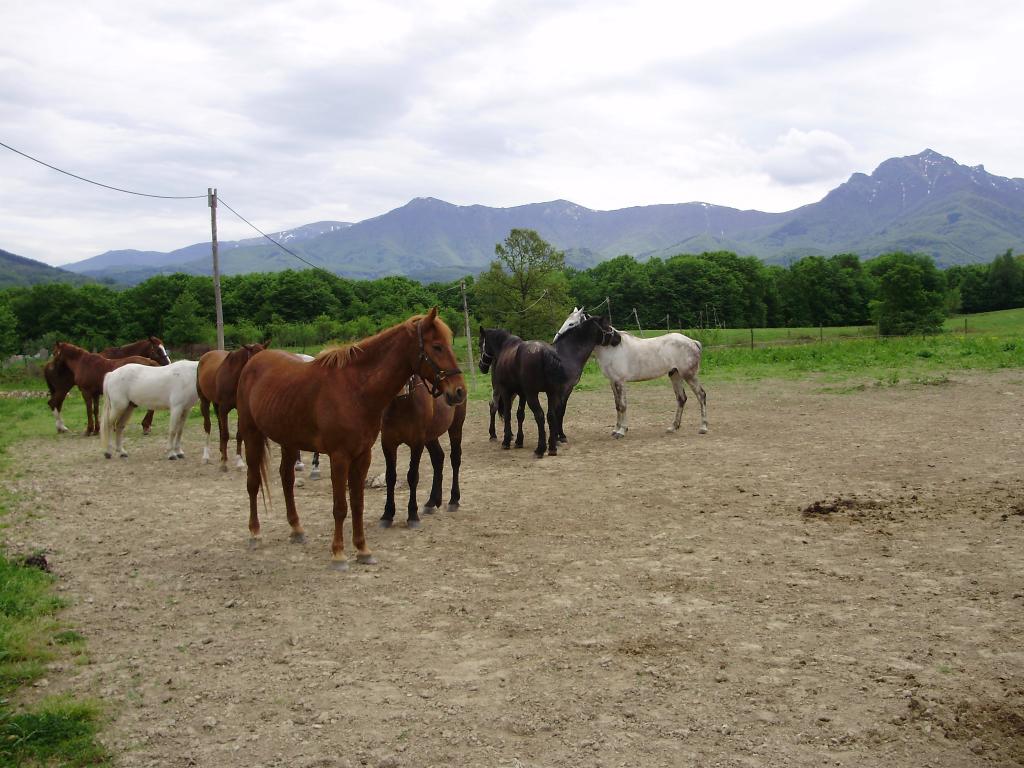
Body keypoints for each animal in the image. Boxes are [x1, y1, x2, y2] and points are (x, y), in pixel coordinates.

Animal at [196, 342, 269, 470]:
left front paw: (239, 461)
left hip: (217, 405)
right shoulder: (224, 409)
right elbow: (226, 434)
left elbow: (238, 435)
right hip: (205, 402)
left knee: (220, 426)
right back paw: (206, 456)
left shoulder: (239, 409)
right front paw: (224, 463)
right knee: (208, 426)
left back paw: (221, 451)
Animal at [379, 375, 467, 529]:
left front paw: (412, 516)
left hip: (456, 426)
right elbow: (390, 477)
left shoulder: (417, 443)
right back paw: (432, 502)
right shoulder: (387, 442)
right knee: (438, 457)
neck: (401, 402)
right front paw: (387, 515)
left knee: (455, 458)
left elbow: (413, 476)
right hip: (431, 436)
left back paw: (453, 500)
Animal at [478, 314, 619, 457]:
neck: (568, 354)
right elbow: (558, 412)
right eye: (608, 327)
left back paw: (513, 437)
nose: (481, 366)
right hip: (500, 389)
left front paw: (558, 437)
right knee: (493, 406)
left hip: (515, 392)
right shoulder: (563, 390)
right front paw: (558, 437)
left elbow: (554, 413)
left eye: (571, 323)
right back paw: (493, 435)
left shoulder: (561, 390)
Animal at [554, 307, 708, 438]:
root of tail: (693, 342)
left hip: (689, 375)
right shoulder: (612, 382)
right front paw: (616, 429)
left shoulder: (620, 382)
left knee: (701, 395)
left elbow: (623, 405)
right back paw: (673, 427)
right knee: (681, 399)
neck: (612, 349)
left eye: (571, 324)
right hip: (675, 374)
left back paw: (703, 427)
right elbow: (617, 405)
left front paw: (621, 431)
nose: (556, 339)